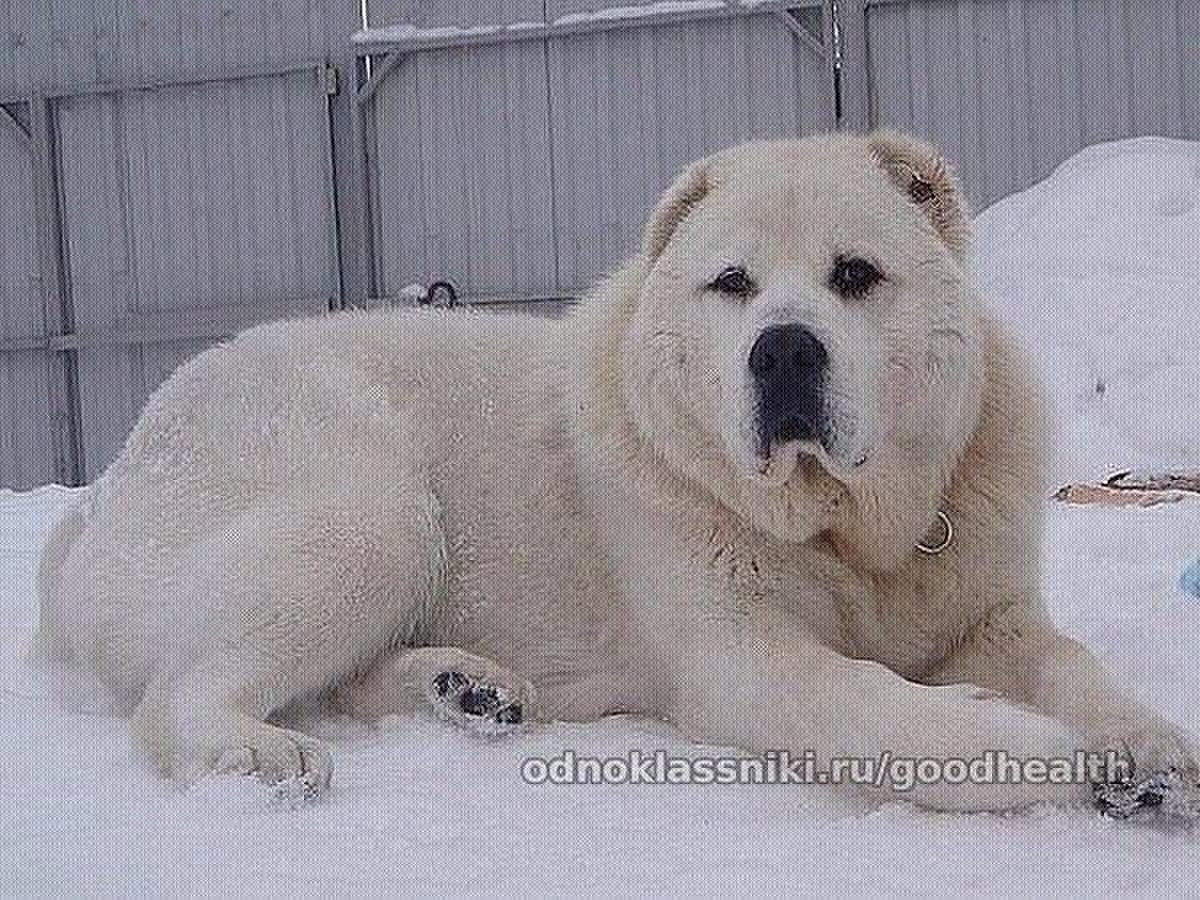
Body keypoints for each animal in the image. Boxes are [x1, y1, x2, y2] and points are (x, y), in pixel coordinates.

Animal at [32, 130, 1195, 816]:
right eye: (732, 283)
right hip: (371, 510)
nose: (783, 350)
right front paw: (1046, 753)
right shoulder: (738, 651)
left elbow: (1076, 665)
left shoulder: (992, 618)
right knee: (178, 699)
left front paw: (1151, 750)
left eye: (856, 275)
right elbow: (876, 707)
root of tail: (106, 490)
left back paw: (468, 689)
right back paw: (264, 756)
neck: (847, 528)